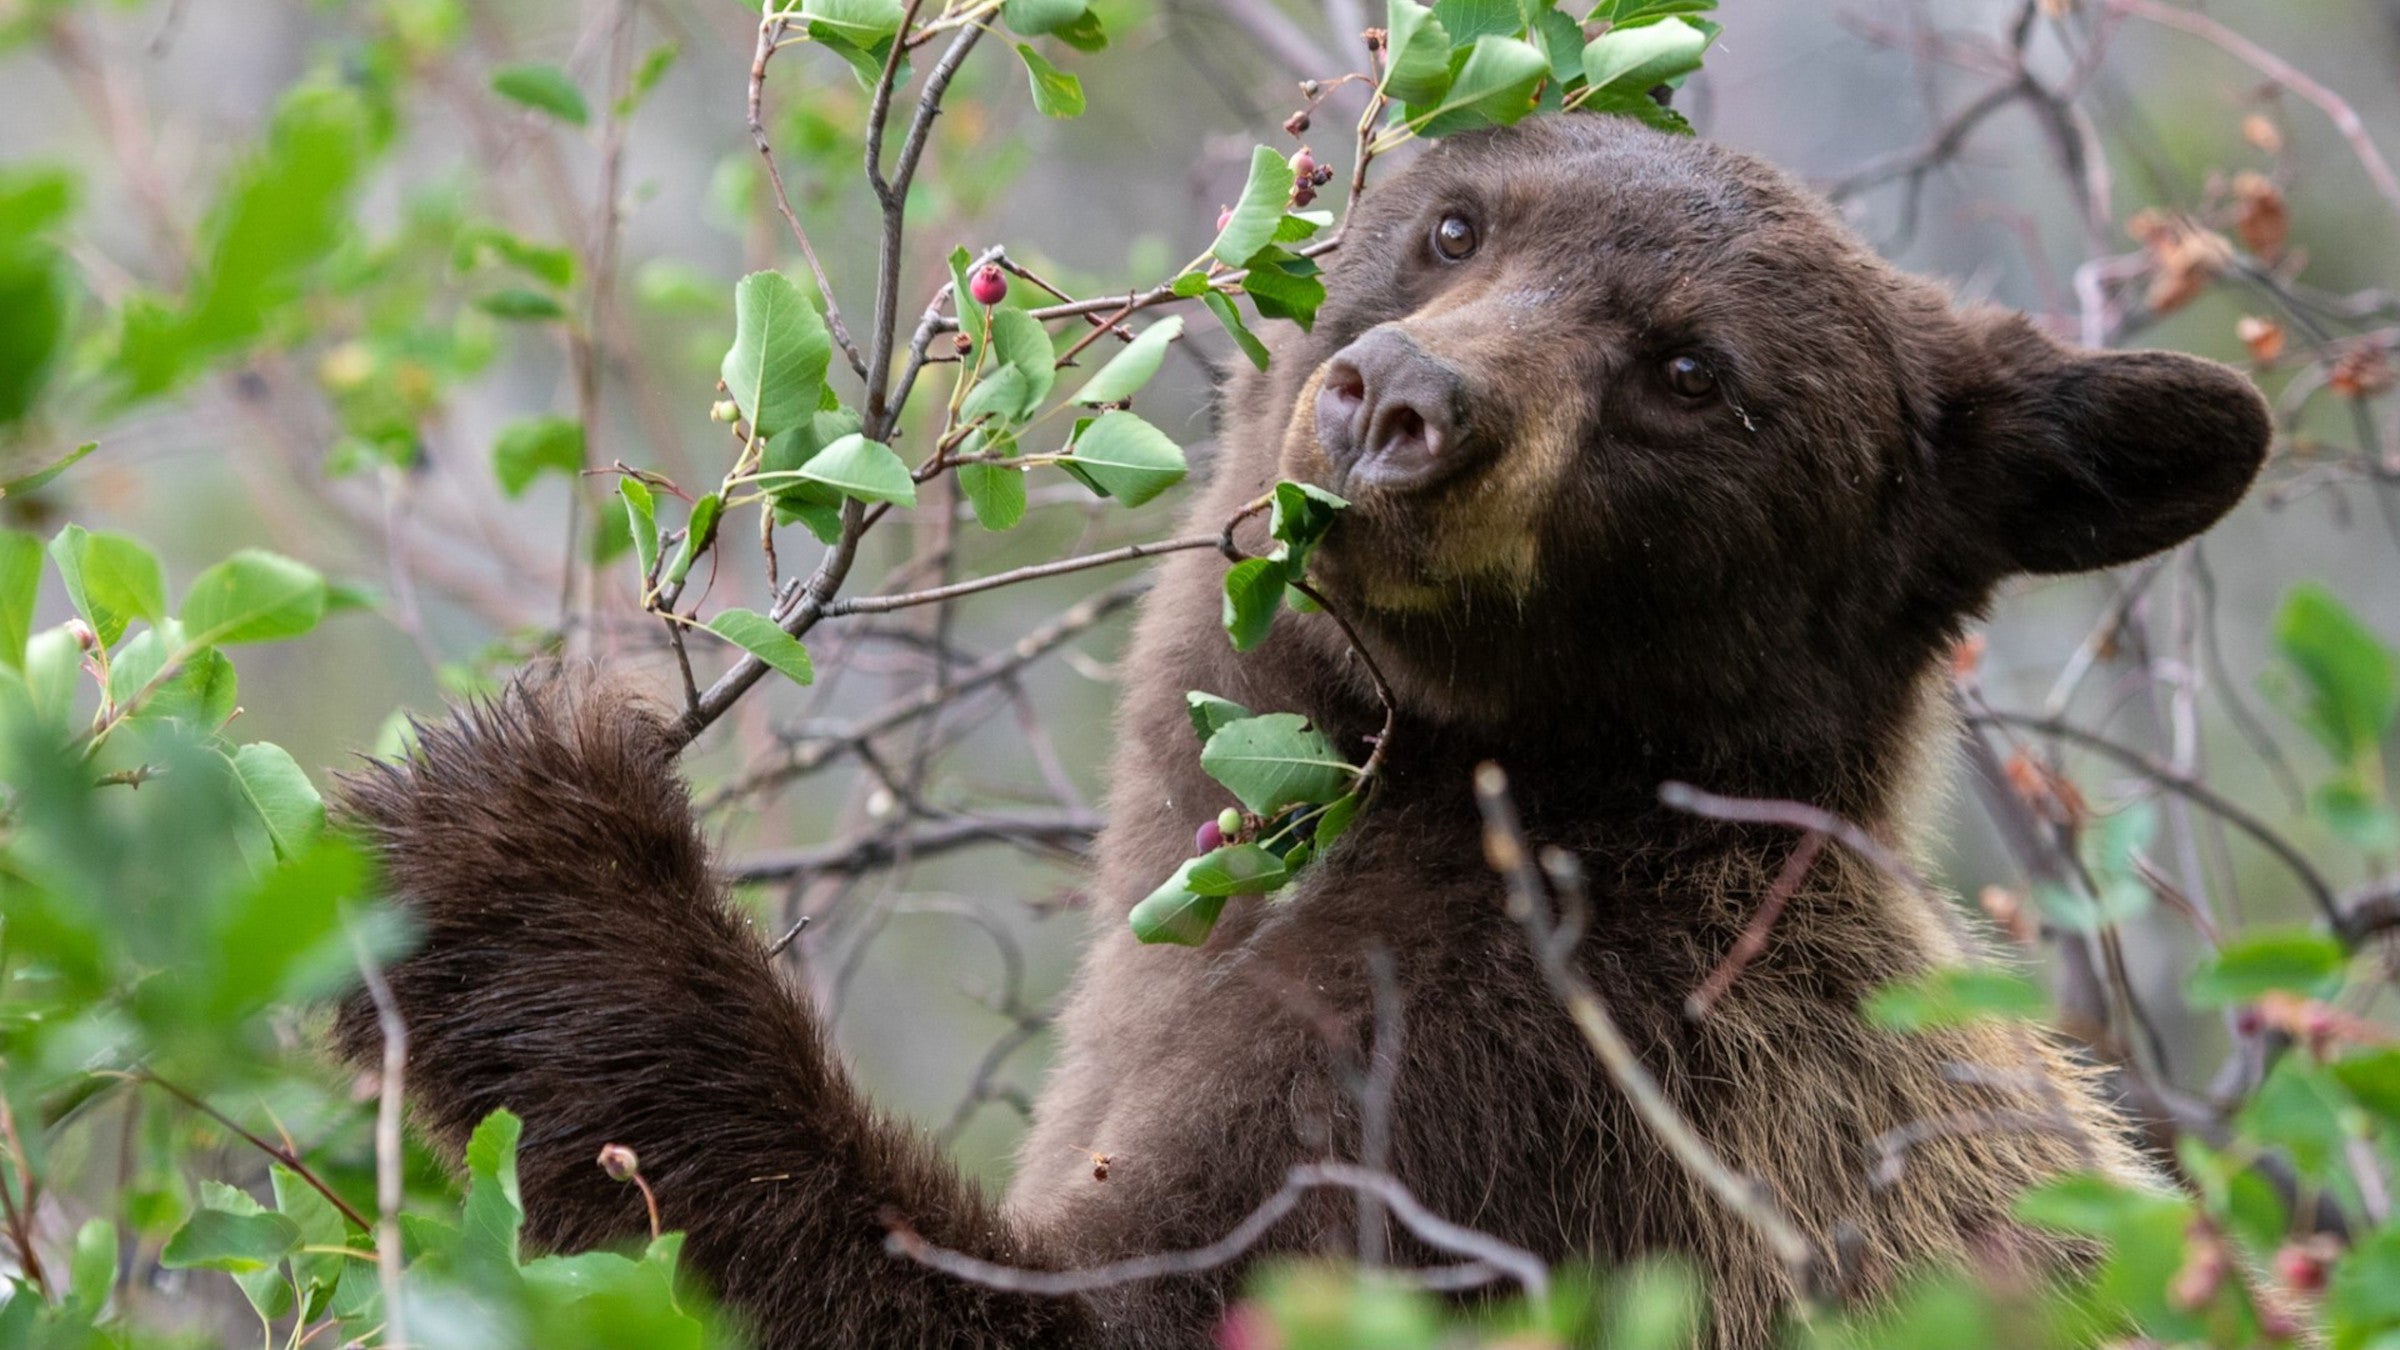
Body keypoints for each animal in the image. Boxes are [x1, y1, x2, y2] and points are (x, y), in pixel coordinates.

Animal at [336, 112, 2271, 1348]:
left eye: (1690, 371)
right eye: (1460, 223)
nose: (1403, 398)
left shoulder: (1530, 1106)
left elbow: (1086, 1308)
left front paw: (529, 852)